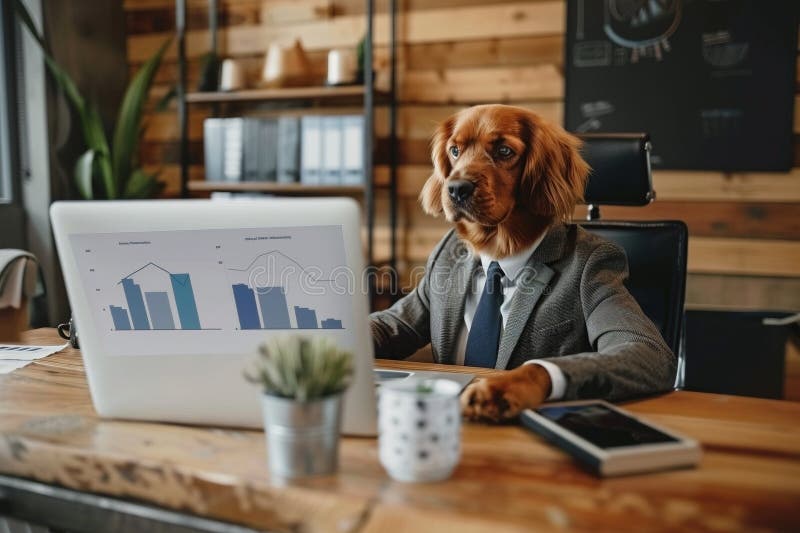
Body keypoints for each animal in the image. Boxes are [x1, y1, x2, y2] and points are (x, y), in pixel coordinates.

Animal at [368, 103, 676, 420]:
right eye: (454, 150)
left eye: (504, 151)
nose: (456, 189)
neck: (500, 252)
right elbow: (392, 321)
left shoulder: (605, 280)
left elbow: (637, 342)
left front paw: (502, 387)